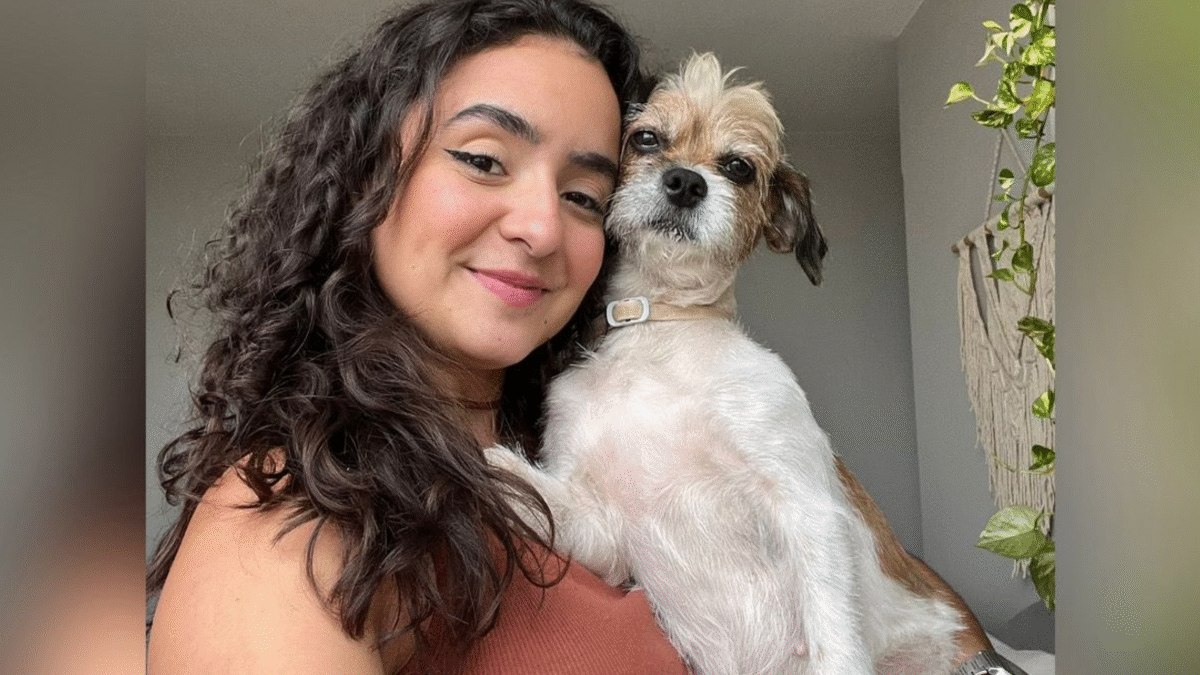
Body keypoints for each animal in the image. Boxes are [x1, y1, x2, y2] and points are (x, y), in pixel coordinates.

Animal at [487, 53, 964, 675]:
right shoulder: (602, 525)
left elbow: (834, 635)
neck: (660, 335)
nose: (685, 182)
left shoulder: (806, 507)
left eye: (738, 167)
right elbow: (540, 495)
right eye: (646, 138)